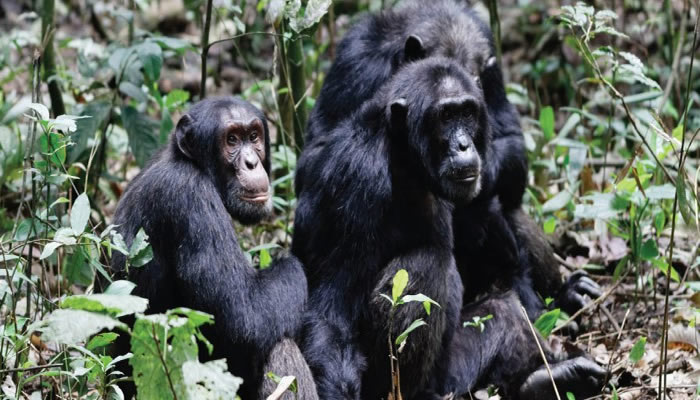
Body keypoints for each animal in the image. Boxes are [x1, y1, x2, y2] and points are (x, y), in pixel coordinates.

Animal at [111, 97, 318, 400]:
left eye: (253, 136)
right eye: (231, 140)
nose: (251, 162)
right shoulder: (190, 199)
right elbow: (245, 318)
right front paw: (288, 259)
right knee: (279, 343)